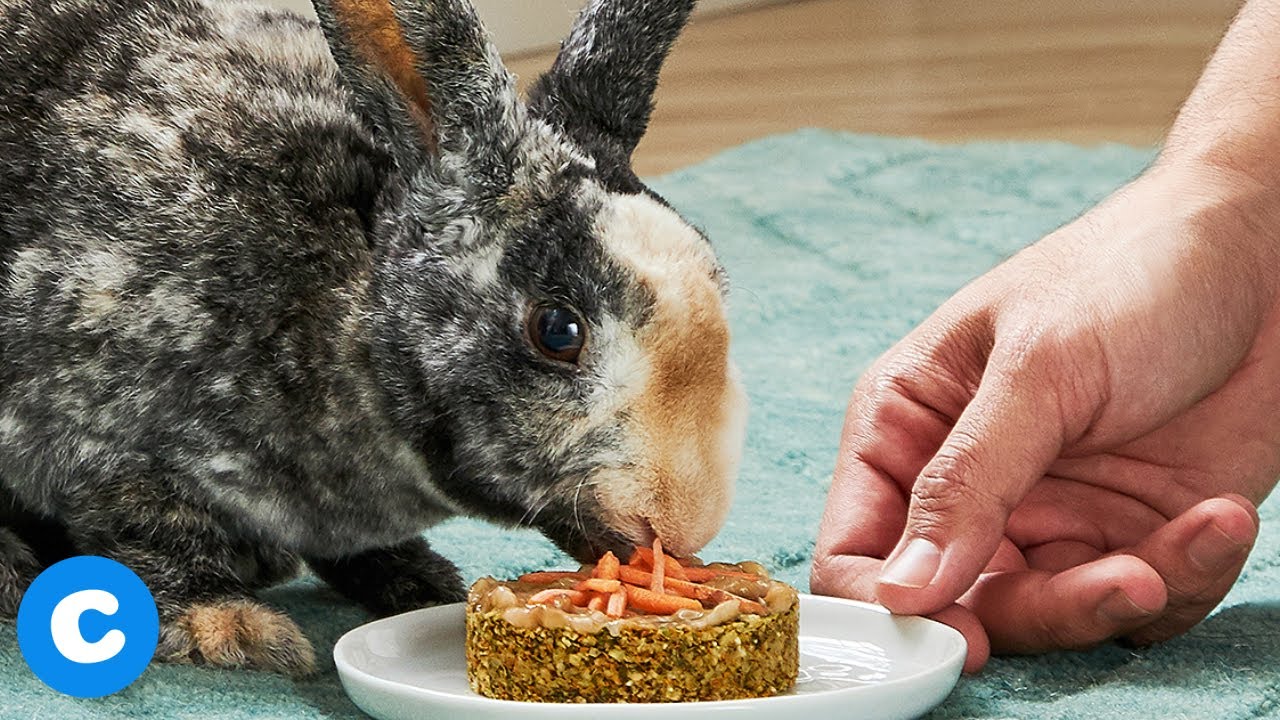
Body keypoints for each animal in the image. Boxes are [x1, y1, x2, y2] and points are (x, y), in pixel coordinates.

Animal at [0, 0, 748, 676]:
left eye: (718, 279)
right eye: (558, 330)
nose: (683, 525)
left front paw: (419, 581)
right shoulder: (108, 453)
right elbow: (157, 542)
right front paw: (239, 633)